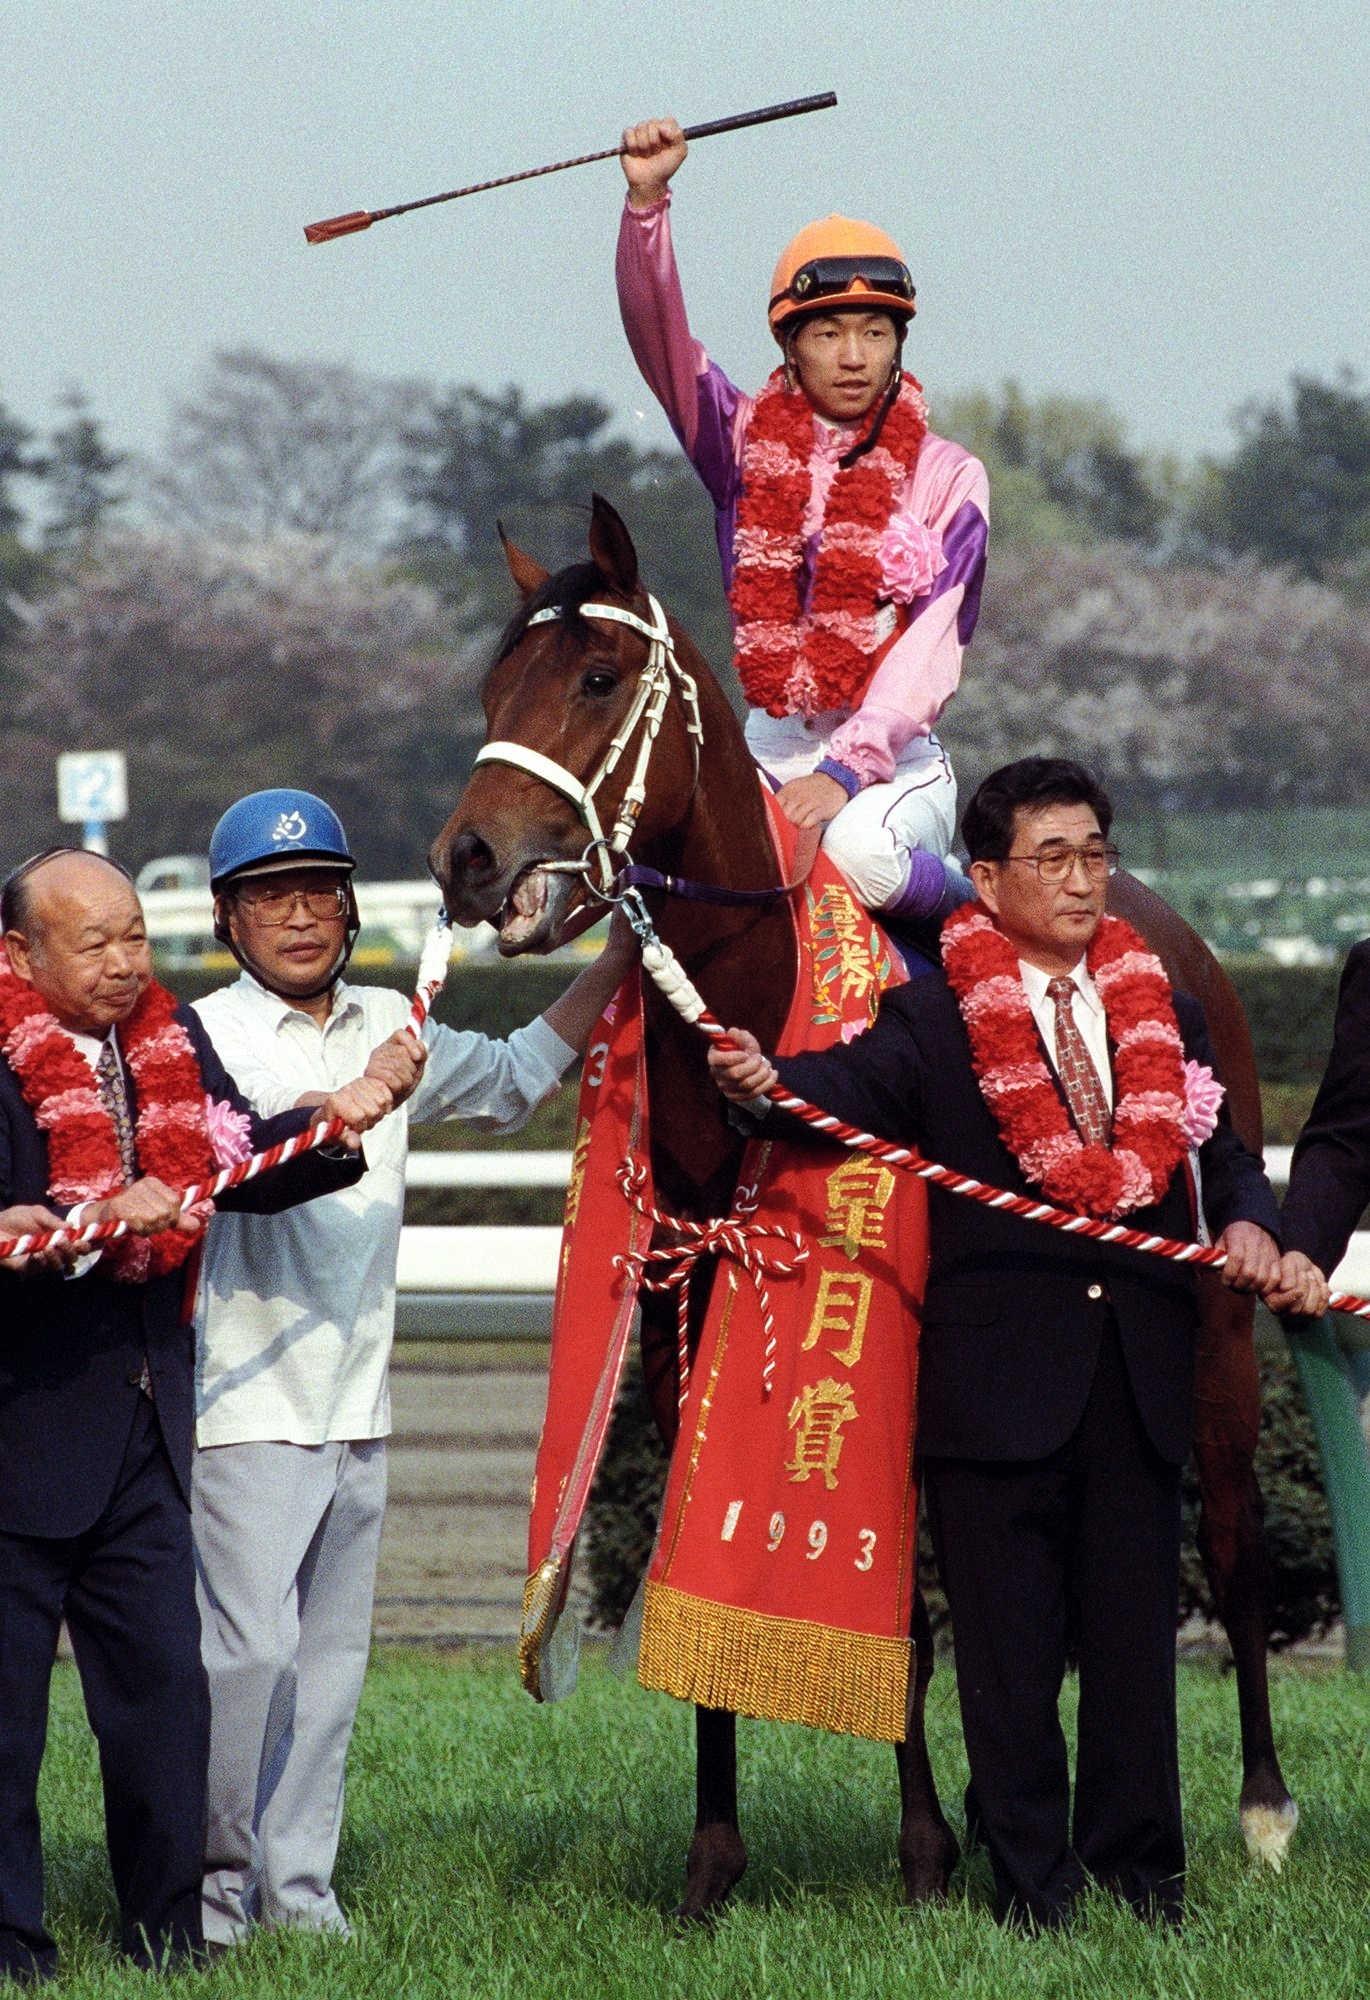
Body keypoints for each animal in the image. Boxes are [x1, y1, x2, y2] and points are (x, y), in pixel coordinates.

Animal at [432, 492, 1296, 1912]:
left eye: (597, 677)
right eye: (492, 683)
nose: (464, 856)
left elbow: (910, 1598)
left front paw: (928, 1848)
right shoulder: (685, 1318)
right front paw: (713, 1861)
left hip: (1220, 1315)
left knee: (1227, 1540)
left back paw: (1262, 1809)